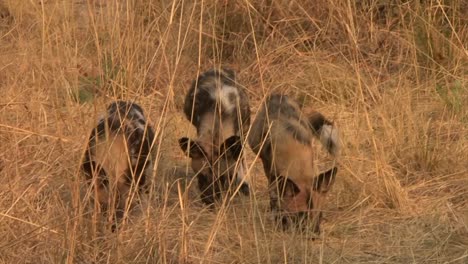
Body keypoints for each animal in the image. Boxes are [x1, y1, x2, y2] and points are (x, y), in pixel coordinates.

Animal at [179, 68, 252, 206]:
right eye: (201, 177)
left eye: (222, 179)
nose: (210, 201)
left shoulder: (241, 135)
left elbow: (239, 162)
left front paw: (241, 185)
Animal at [249, 94, 340, 234]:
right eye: (301, 215)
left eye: (319, 215)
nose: (314, 234)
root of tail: (279, 95)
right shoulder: (273, 176)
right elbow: (275, 200)